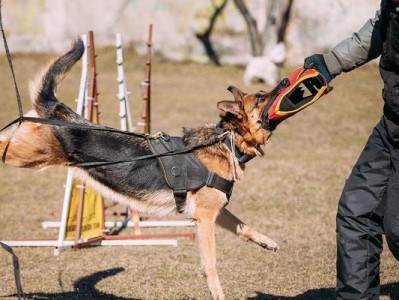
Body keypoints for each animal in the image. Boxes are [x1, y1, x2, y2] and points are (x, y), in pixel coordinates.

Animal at [0, 38, 284, 298]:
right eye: (261, 97)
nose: (283, 82)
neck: (227, 141)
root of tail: (58, 110)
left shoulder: (215, 211)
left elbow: (242, 226)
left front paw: (267, 241)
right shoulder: (204, 218)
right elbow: (211, 265)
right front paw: (217, 292)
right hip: (27, 154)